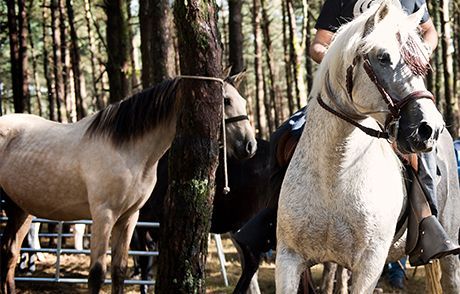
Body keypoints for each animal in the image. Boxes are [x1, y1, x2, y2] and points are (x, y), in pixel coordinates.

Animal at [0, 72, 255, 292]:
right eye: (226, 100)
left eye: (242, 100)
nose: (249, 145)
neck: (127, 149)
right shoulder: (103, 216)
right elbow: (97, 274)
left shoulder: (129, 217)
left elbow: (119, 270)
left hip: (20, 209)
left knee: (9, 254)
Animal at [274, 1, 458, 292]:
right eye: (383, 57)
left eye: (421, 64)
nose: (430, 128)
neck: (334, 174)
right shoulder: (288, 258)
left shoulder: (369, 265)